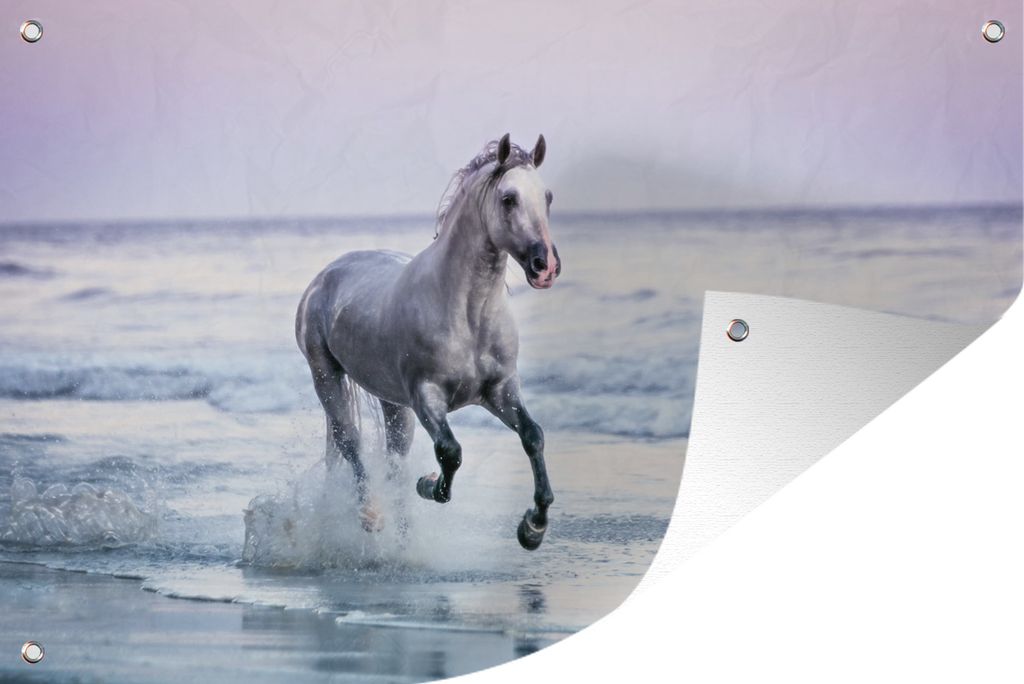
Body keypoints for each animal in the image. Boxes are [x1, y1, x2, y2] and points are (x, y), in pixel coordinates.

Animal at [295, 133, 561, 550]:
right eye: (508, 198)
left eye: (547, 196)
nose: (545, 266)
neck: (467, 314)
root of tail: (325, 276)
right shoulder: (426, 396)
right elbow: (450, 453)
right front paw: (429, 484)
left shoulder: (500, 390)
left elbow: (533, 436)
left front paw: (533, 528)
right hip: (326, 376)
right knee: (350, 442)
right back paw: (371, 514)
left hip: (392, 402)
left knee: (394, 459)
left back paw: (403, 537)